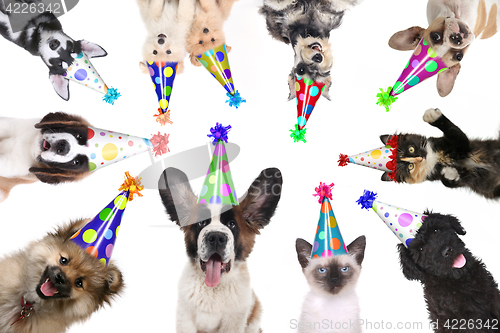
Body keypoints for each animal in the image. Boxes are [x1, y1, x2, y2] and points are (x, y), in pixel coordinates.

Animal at [158, 166, 284, 332]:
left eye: (232, 224)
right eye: (202, 223)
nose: (216, 237)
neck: (214, 288)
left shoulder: (234, 321)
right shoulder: (185, 318)